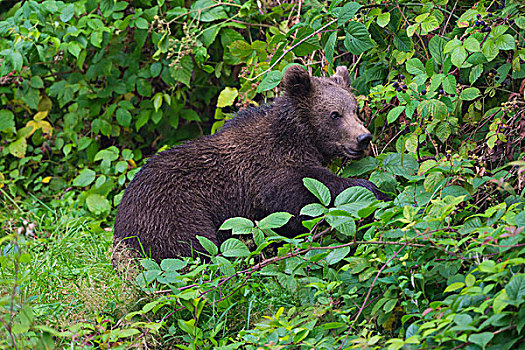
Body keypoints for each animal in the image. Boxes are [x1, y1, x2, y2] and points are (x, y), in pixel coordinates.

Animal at [111, 64, 388, 266]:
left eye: (355, 108)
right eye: (334, 114)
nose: (363, 138)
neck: (299, 136)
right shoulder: (269, 170)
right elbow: (304, 195)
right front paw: (372, 190)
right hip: (171, 214)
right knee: (190, 250)